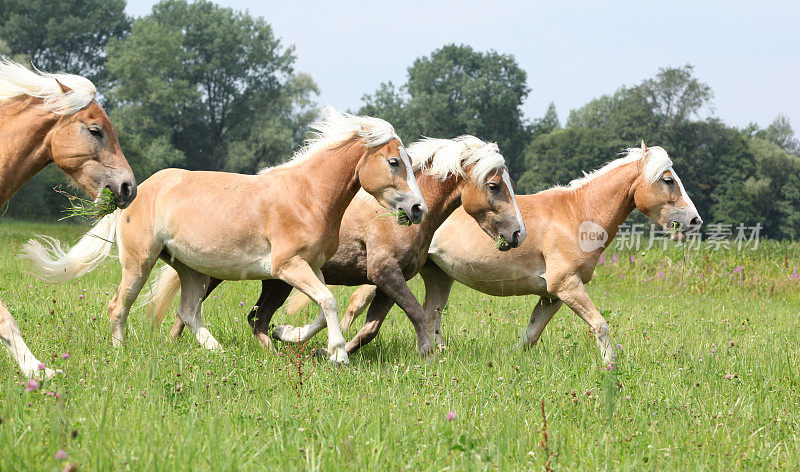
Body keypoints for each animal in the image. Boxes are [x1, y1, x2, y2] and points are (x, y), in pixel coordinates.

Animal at [23, 108, 424, 366]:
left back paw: (218, 352)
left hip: (190, 269)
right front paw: (338, 354)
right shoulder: (288, 266)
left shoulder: (311, 267)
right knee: (119, 305)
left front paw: (286, 333)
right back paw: (121, 353)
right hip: (140, 261)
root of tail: (136, 192)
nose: (418, 208)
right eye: (393, 162)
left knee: (188, 311)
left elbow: (324, 307)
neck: (308, 196)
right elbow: (328, 302)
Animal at [154, 136, 528, 358]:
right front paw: (425, 353)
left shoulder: (385, 282)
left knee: (254, 318)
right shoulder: (384, 273)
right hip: (222, 272)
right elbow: (417, 313)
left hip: (273, 281)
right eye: (494, 185)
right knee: (193, 309)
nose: (518, 234)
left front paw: (326, 348)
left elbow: (370, 328)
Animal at [342, 142, 700, 364]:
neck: (578, 214)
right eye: (668, 180)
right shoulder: (567, 286)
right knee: (357, 305)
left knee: (431, 316)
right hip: (389, 274)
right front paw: (610, 366)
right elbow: (600, 325)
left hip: (439, 276)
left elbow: (530, 335)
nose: (695, 220)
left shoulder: (552, 296)